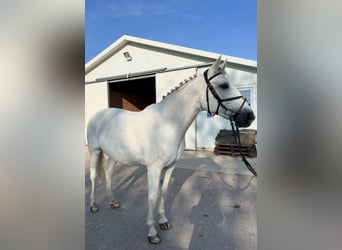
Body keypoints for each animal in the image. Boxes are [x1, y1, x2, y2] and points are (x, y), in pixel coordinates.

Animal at [87, 55, 255, 243]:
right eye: (224, 85)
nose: (250, 116)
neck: (167, 124)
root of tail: (98, 115)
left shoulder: (169, 167)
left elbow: (164, 192)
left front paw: (163, 222)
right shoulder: (154, 168)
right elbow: (152, 198)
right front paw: (152, 233)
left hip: (112, 155)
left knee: (108, 174)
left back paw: (113, 202)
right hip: (95, 152)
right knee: (93, 176)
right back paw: (93, 206)